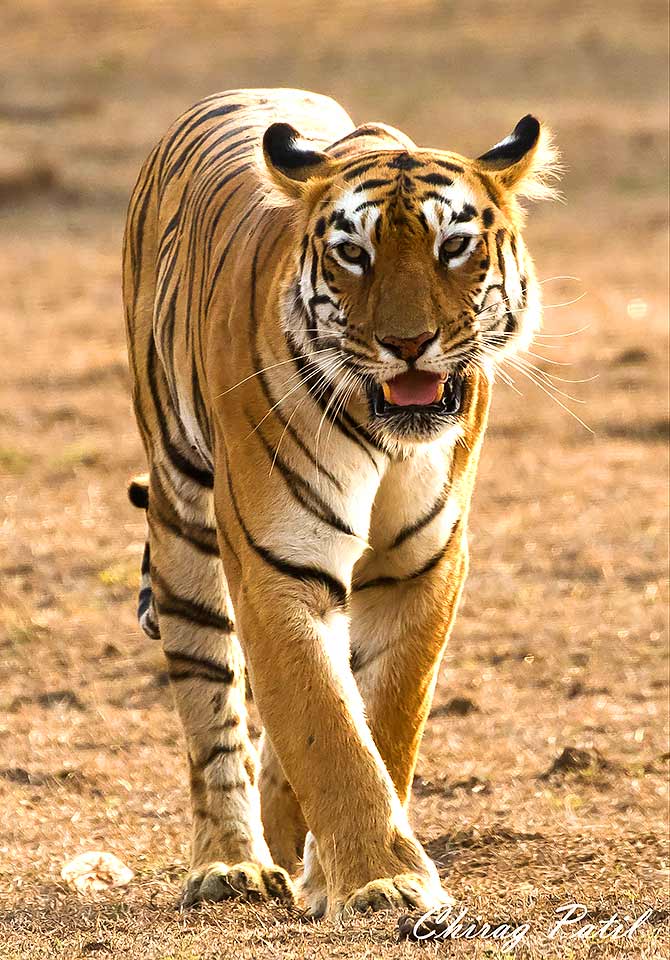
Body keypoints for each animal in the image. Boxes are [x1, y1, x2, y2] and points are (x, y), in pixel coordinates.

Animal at [123, 88, 560, 916]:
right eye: (352, 254)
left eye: (454, 245)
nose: (409, 343)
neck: (388, 437)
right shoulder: (276, 565)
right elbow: (327, 727)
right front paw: (383, 880)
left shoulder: (424, 565)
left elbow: (383, 723)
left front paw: (341, 873)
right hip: (181, 523)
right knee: (213, 713)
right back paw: (230, 863)